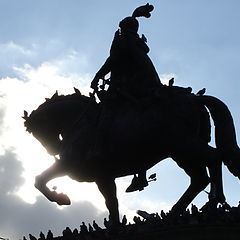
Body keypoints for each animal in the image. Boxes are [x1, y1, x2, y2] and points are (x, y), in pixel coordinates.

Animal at [22, 87, 240, 223]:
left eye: (36, 132)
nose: (53, 150)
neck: (80, 124)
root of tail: (195, 97)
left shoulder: (67, 165)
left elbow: (39, 179)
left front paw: (61, 198)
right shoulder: (103, 177)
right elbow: (111, 202)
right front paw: (114, 226)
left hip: (184, 146)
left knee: (214, 159)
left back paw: (213, 201)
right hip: (182, 154)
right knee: (199, 178)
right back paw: (174, 212)